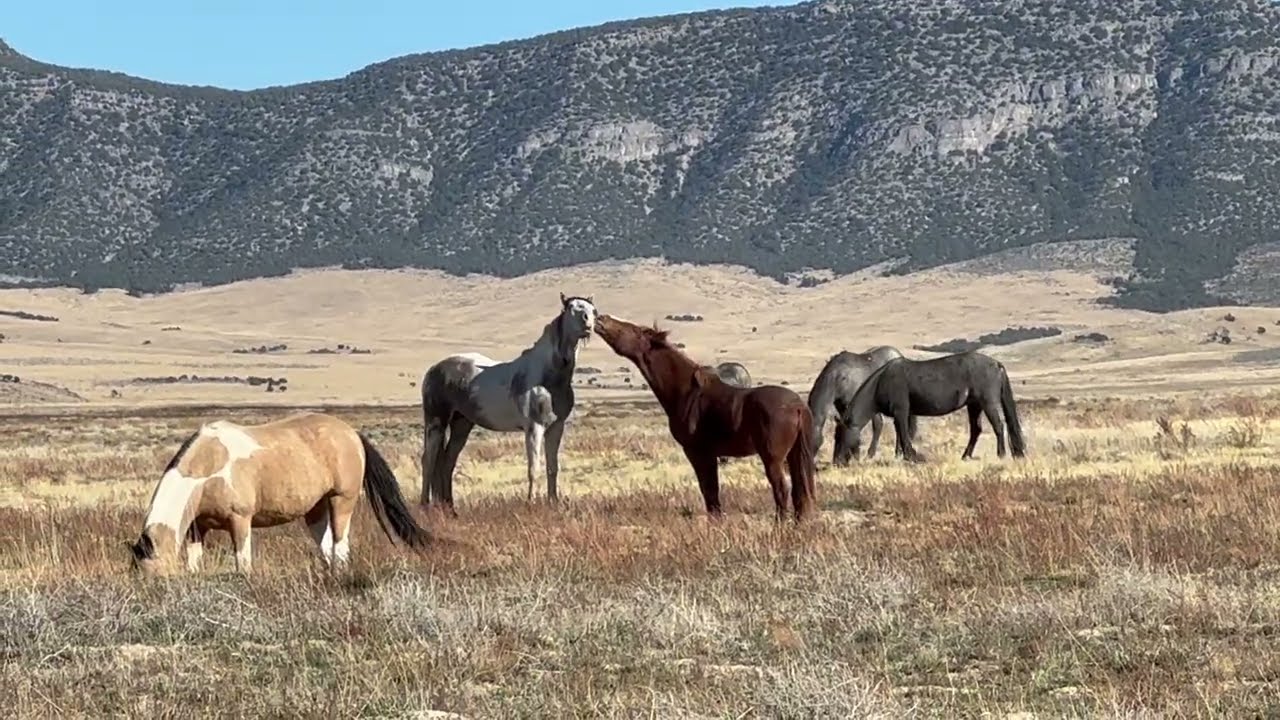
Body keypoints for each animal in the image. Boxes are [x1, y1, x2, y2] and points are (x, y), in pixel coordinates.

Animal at [128, 412, 432, 575]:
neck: (208, 468)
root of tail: (352, 434)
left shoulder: (240, 521)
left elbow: (243, 562)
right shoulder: (197, 528)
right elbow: (194, 562)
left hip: (341, 501)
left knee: (340, 546)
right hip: (316, 511)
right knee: (326, 549)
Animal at [420, 293, 597, 514]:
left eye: (592, 310)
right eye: (571, 307)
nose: (588, 323)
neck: (548, 377)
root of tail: (433, 369)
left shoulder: (556, 427)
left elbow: (552, 467)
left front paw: (553, 503)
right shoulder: (534, 428)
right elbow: (534, 468)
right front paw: (531, 503)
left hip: (462, 424)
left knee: (446, 462)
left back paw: (450, 509)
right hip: (436, 422)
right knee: (428, 461)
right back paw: (424, 506)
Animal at [594, 315, 817, 522]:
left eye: (634, 329)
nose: (600, 318)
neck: (687, 392)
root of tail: (798, 406)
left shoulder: (698, 452)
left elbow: (709, 491)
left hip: (773, 457)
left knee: (782, 490)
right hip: (794, 454)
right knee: (800, 493)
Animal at [839, 351, 1027, 463]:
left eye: (838, 437)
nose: (837, 462)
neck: (882, 382)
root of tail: (997, 364)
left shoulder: (901, 411)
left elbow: (904, 434)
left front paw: (911, 456)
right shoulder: (901, 414)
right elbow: (901, 434)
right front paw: (902, 456)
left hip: (988, 403)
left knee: (998, 426)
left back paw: (1001, 454)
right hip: (974, 405)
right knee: (976, 430)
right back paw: (965, 456)